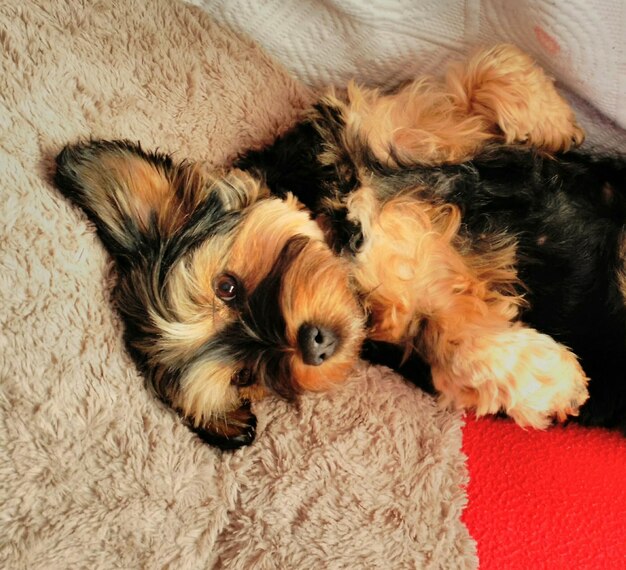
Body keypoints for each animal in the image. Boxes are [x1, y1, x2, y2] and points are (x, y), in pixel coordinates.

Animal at [239, 45, 624, 430]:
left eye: (232, 287)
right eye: (245, 376)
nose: (311, 346)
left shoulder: (398, 124)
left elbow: (490, 67)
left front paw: (554, 123)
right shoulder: (410, 330)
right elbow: (456, 349)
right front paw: (556, 381)